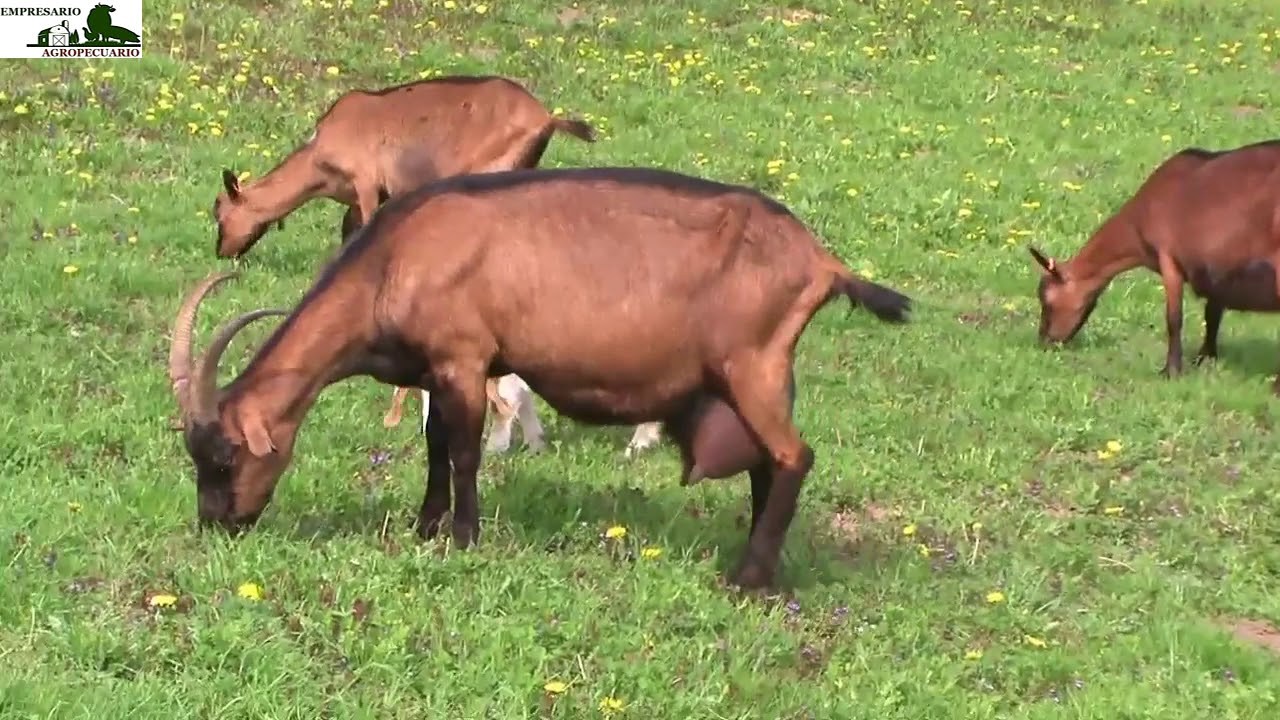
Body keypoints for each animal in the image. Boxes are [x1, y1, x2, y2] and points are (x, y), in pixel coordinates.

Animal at [167, 166, 912, 591]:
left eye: (225, 456)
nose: (217, 524)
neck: (393, 261)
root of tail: (821, 261)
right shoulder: (438, 369)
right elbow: (434, 447)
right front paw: (425, 526)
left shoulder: (464, 358)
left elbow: (462, 451)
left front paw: (463, 538)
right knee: (767, 464)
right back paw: (764, 568)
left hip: (750, 365)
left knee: (792, 457)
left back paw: (747, 580)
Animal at [1028, 139, 1280, 386]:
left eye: (1047, 300)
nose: (1045, 342)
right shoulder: (1216, 269)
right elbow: (1212, 315)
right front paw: (1205, 359)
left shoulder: (1169, 259)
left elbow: (1174, 319)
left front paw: (1171, 371)